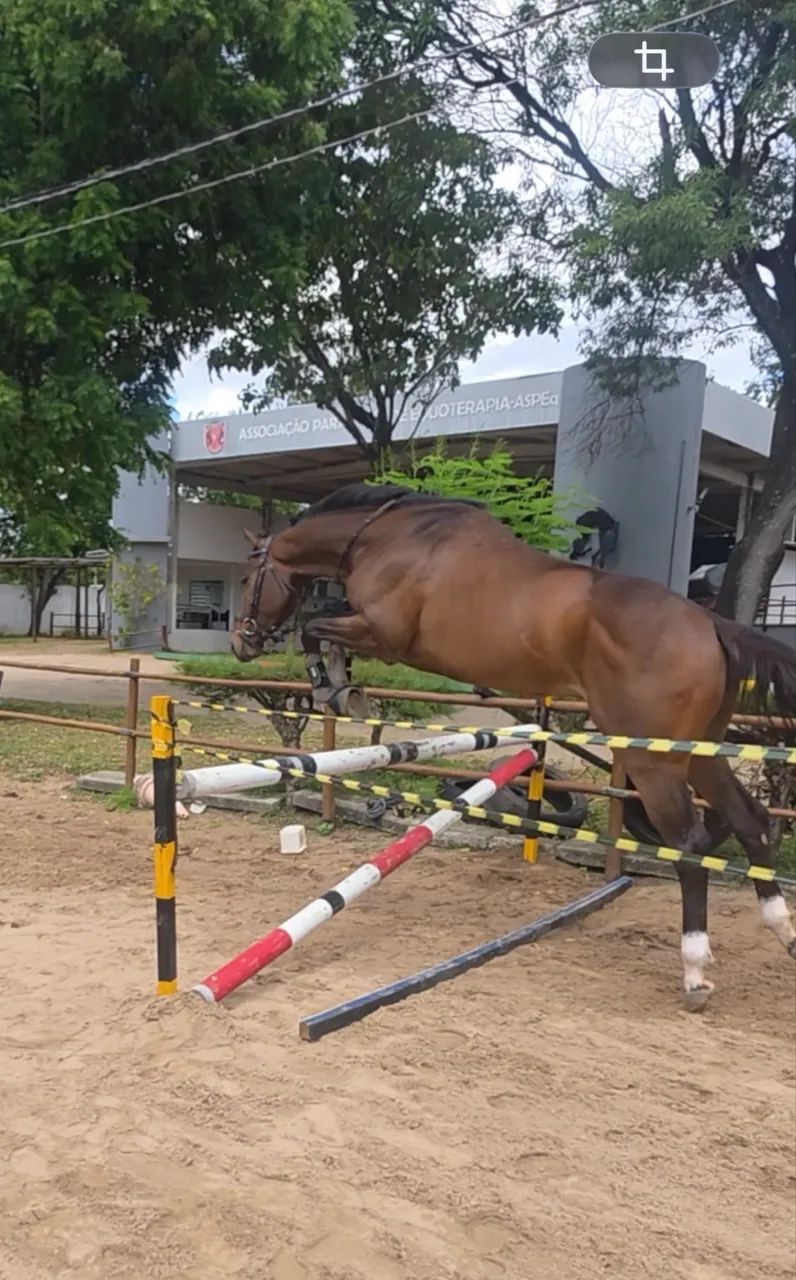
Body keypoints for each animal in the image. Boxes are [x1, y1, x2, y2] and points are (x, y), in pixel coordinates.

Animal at [230, 483, 796, 1010]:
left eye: (246, 579)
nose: (241, 642)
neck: (381, 537)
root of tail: (710, 625)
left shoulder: (382, 634)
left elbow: (314, 627)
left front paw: (334, 686)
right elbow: (321, 627)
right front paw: (342, 685)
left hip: (653, 760)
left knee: (690, 846)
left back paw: (694, 970)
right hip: (699, 750)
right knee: (750, 821)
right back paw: (782, 929)